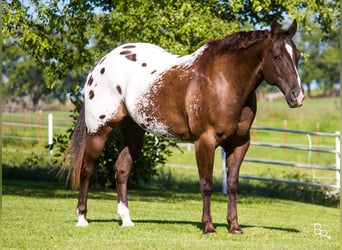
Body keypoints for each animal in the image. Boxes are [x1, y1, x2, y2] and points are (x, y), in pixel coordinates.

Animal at [65, 20, 304, 235]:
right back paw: (82, 218)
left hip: (133, 131)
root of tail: (100, 65)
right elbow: (206, 185)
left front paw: (234, 227)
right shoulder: (205, 141)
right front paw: (209, 227)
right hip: (100, 131)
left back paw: (126, 220)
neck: (225, 81)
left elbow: (233, 185)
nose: (298, 96)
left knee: (122, 170)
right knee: (87, 170)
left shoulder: (239, 144)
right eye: (277, 56)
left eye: (298, 56)